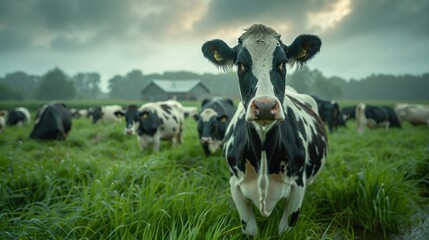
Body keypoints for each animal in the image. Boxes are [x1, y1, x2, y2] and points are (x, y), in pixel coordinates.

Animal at [201, 24, 328, 236]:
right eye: (240, 64)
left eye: (283, 63)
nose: (265, 106)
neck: (263, 153)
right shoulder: (235, 185)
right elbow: (250, 230)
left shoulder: (298, 187)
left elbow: (284, 230)